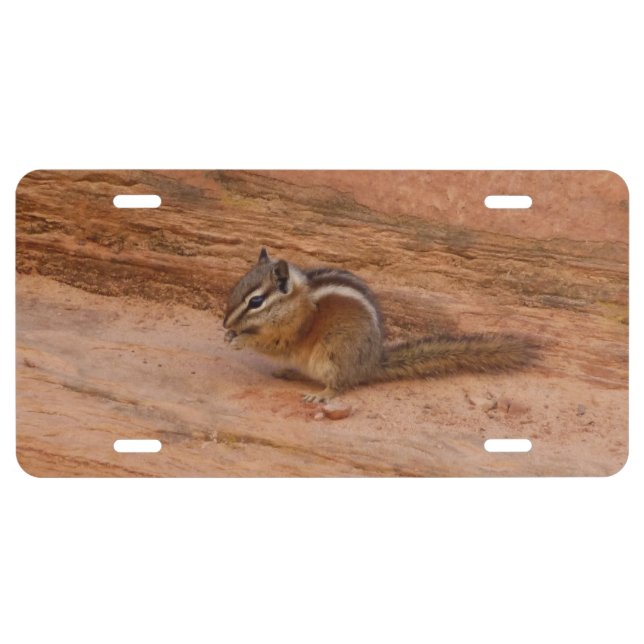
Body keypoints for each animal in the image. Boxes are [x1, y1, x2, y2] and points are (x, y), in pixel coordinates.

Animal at [223, 248, 537, 403]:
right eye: (237, 287)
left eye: (256, 301)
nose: (225, 321)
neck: (296, 301)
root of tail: (370, 364)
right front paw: (229, 334)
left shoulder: (294, 330)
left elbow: (273, 343)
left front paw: (241, 339)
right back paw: (288, 372)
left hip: (333, 353)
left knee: (340, 384)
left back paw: (321, 394)